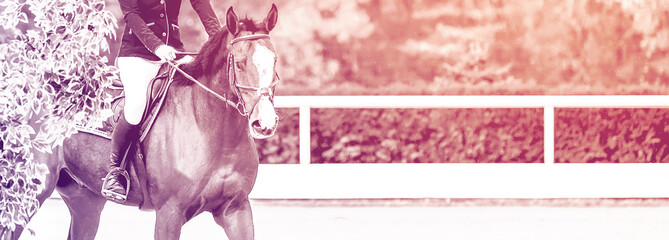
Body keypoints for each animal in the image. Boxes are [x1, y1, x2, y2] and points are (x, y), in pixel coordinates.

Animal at [3, 4, 280, 240]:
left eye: (274, 60)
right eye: (240, 64)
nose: (264, 123)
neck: (214, 131)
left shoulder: (236, 209)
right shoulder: (169, 213)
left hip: (85, 201)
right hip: (26, 195)